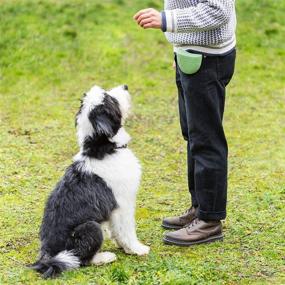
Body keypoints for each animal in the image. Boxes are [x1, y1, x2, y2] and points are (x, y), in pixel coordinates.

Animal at [29, 84, 150, 278]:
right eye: (111, 99)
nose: (125, 86)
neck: (104, 149)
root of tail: (48, 256)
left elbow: (117, 231)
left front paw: (123, 246)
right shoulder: (122, 204)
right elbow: (126, 229)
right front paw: (136, 249)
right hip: (90, 227)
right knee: (81, 259)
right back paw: (104, 257)